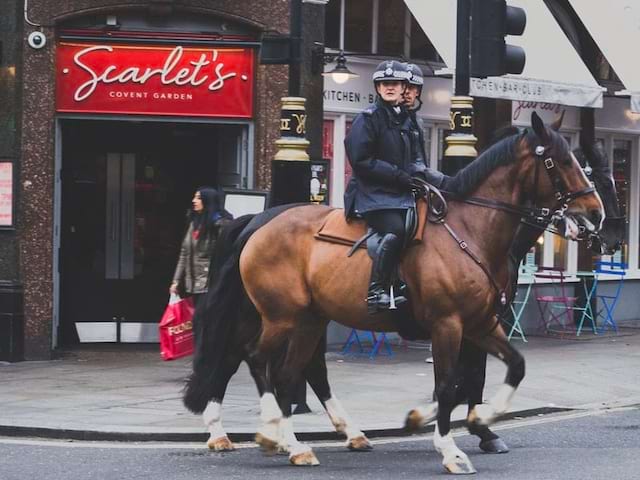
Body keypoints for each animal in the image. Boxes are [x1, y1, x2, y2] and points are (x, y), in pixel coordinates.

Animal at [186, 111, 604, 472]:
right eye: (560, 161)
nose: (596, 214)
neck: (470, 230)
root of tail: (259, 224)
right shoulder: (448, 324)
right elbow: (448, 384)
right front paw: (451, 449)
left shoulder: (481, 324)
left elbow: (510, 367)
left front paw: (474, 419)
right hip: (279, 315)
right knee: (256, 358)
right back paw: (268, 431)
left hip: (306, 319)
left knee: (288, 371)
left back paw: (294, 442)